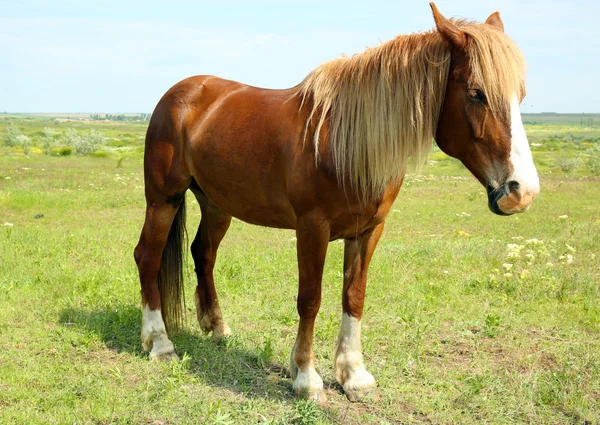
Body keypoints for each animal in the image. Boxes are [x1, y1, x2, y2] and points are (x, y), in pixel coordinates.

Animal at [135, 2, 540, 400]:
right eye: (476, 92)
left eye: (520, 95)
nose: (521, 192)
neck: (347, 143)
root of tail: (182, 92)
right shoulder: (312, 228)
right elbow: (310, 299)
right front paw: (306, 377)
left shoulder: (368, 231)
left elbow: (354, 296)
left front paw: (354, 375)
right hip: (163, 199)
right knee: (147, 256)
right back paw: (160, 343)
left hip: (217, 205)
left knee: (203, 253)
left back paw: (217, 327)